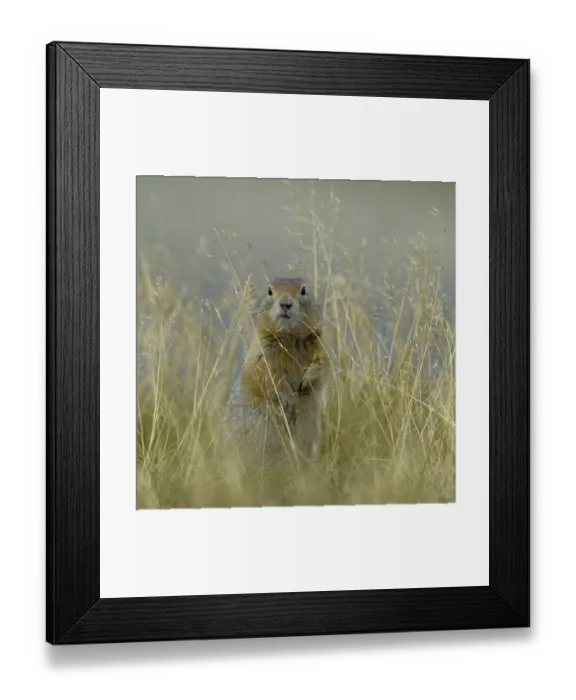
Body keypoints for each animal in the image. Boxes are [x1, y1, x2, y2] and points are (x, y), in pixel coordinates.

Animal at [224, 277, 329, 465]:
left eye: (303, 290)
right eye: (269, 291)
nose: (285, 304)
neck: (289, 337)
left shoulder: (321, 345)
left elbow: (322, 365)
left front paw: (307, 380)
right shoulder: (262, 354)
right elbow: (270, 377)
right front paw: (287, 403)